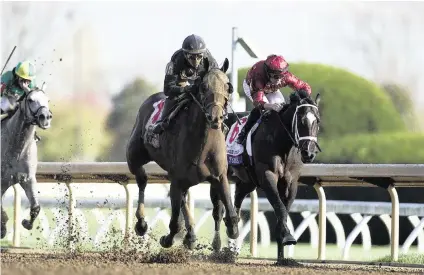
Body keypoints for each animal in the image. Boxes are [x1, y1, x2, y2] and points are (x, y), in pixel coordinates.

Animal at [0, 86, 53, 239]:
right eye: (30, 99)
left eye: (47, 100)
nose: (45, 117)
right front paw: (3, 228)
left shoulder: (27, 179)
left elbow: (36, 207)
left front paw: (27, 223)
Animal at [124, 58, 240, 250]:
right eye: (203, 87)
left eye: (228, 86)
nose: (215, 118)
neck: (202, 145)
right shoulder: (176, 179)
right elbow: (174, 222)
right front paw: (167, 239)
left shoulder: (219, 176)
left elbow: (229, 213)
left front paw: (230, 231)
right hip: (134, 157)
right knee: (142, 180)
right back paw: (141, 223)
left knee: (183, 197)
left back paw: (191, 234)